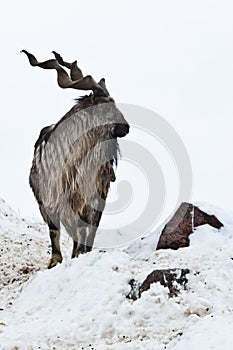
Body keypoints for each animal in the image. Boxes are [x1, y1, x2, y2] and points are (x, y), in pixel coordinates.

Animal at [22, 50, 130, 268]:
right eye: (105, 107)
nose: (126, 127)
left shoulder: (92, 198)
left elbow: (87, 231)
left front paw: (80, 254)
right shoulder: (49, 201)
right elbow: (55, 231)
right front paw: (55, 261)